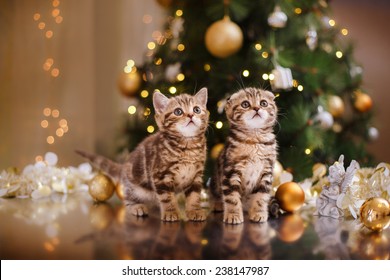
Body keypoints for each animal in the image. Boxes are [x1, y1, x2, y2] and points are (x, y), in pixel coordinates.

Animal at [77, 88, 209, 222]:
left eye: (197, 109)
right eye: (178, 111)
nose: (191, 115)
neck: (189, 146)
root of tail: (124, 168)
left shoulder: (196, 176)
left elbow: (194, 195)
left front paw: (195, 210)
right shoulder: (160, 176)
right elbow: (167, 197)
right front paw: (170, 212)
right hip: (135, 188)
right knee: (128, 199)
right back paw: (136, 207)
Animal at [210, 86, 278, 224]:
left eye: (263, 103)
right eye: (245, 104)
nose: (257, 108)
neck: (254, 140)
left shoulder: (267, 171)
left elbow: (262, 196)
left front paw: (259, 213)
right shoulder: (231, 171)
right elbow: (232, 197)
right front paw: (233, 215)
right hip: (214, 182)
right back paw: (218, 204)